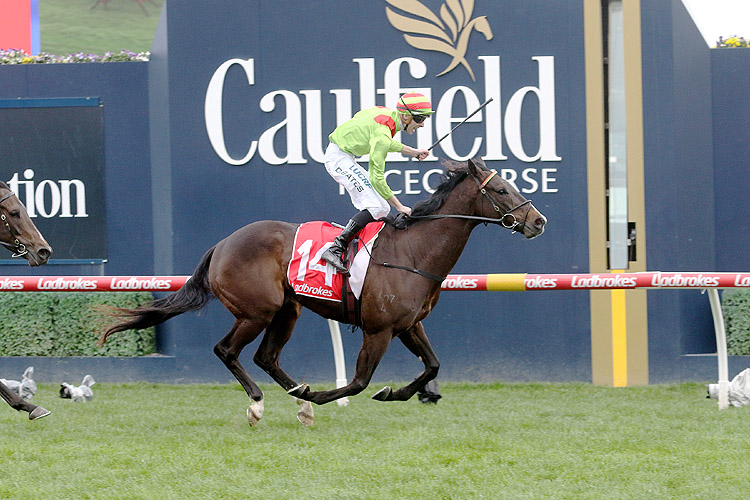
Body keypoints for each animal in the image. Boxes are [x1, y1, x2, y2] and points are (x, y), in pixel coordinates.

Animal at [101, 159, 548, 426]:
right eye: (502, 190)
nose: (538, 221)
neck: (412, 251)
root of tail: (223, 243)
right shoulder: (378, 330)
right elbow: (359, 382)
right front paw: (327, 395)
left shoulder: (408, 325)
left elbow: (433, 366)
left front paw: (398, 393)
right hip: (257, 311)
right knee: (227, 351)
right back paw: (261, 402)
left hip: (287, 311)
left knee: (265, 357)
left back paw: (297, 397)